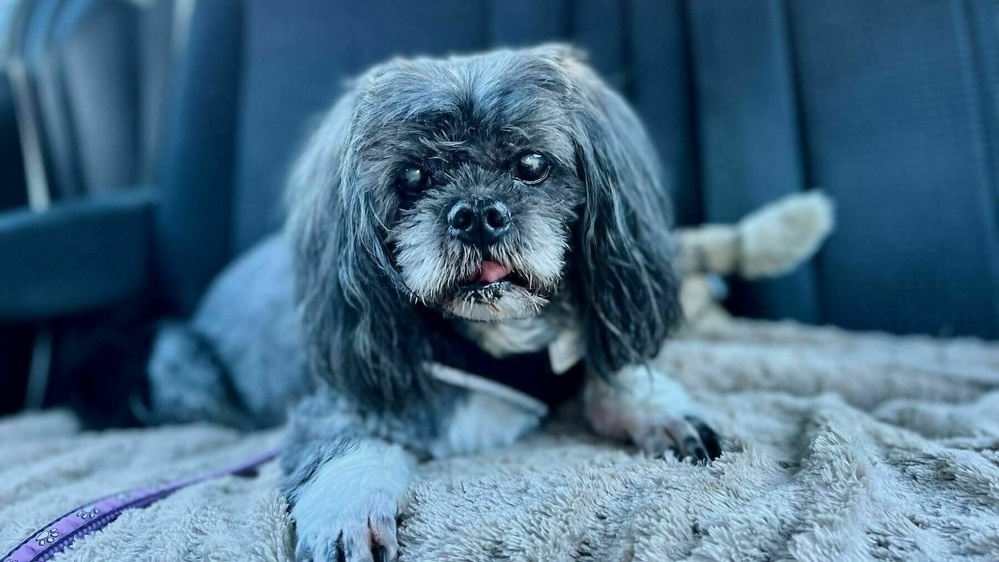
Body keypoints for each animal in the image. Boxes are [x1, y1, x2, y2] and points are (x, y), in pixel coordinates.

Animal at [146, 44, 720, 560]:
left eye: (533, 163)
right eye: (413, 178)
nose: (477, 213)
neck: (500, 340)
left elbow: (603, 374)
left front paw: (658, 410)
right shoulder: (341, 398)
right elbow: (347, 445)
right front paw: (348, 510)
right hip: (179, 361)